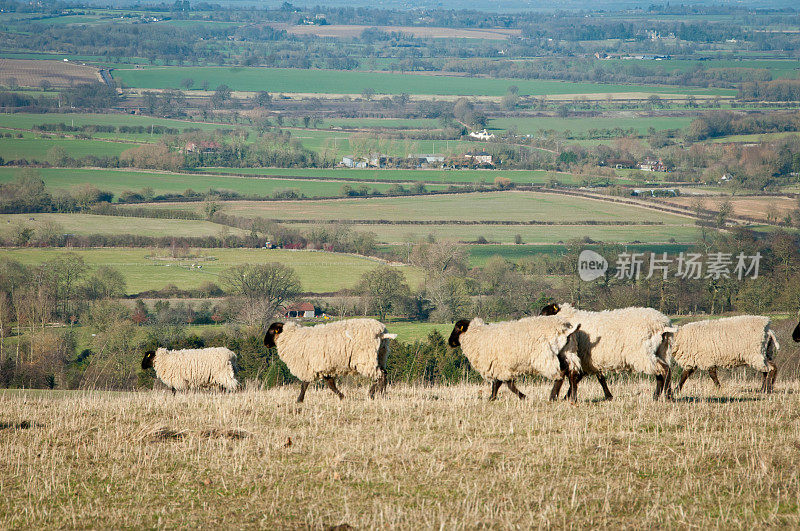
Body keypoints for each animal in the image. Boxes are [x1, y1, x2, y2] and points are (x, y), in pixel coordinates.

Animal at [264, 318, 398, 402]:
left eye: (271, 331)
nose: (265, 344)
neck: (291, 338)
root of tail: (381, 333)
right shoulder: (324, 366)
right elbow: (331, 385)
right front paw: (342, 397)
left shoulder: (308, 366)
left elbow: (304, 385)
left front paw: (299, 400)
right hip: (381, 355)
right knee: (384, 374)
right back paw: (380, 393)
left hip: (366, 358)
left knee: (380, 375)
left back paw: (373, 394)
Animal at [446, 316, 584, 404]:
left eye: (457, 328)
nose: (449, 342)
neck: (477, 336)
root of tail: (566, 330)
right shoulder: (499, 366)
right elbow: (501, 383)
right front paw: (493, 398)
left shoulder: (498, 365)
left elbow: (505, 384)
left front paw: (523, 397)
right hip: (568, 352)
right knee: (571, 373)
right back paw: (573, 398)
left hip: (545, 357)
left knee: (560, 374)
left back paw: (552, 397)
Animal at [540, 302, 680, 402]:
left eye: (545, 313)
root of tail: (663, 325)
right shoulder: (589, 359)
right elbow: (598, 378)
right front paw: (608, 396)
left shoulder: (581, 357)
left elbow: (569, 376)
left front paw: (560, 397)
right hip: (662, 350)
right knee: (662, 372)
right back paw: (657, 397)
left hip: (643, 353)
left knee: (664, 370)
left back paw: (668, 396)